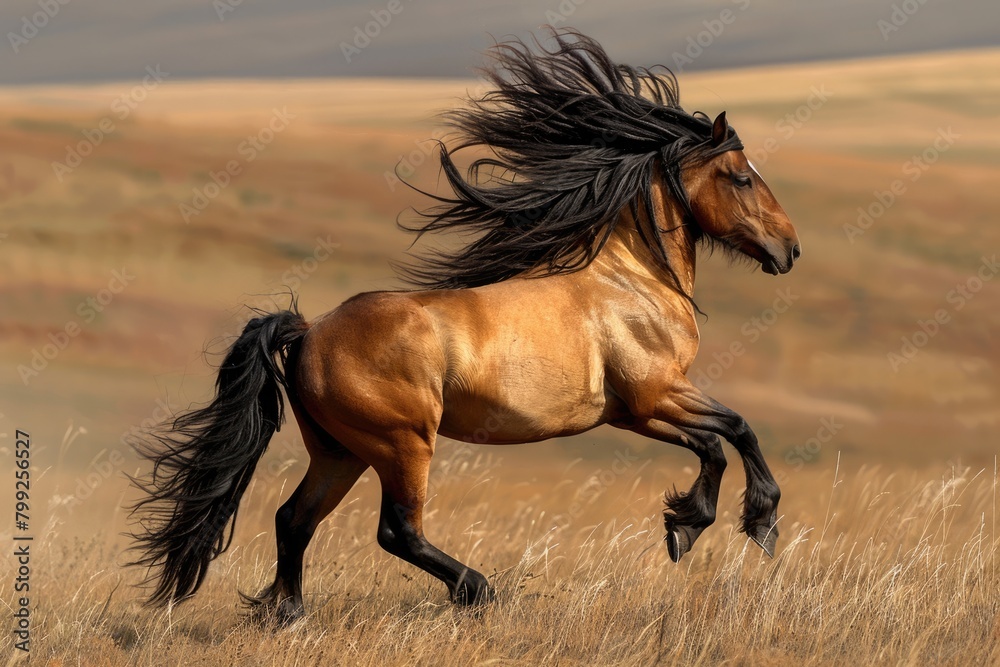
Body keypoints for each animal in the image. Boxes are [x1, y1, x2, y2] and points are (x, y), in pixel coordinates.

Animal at [129, 28, 800, 624]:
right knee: (396, 530)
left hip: (341, 450)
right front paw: (750, 521)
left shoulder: (634, 412)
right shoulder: (655, 394)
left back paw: (290, 615)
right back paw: (477, 590)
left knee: (295, 519)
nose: (788, 249)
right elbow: (735, 430)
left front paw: (685, 525)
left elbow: (715, 443)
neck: (632, 281)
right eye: (742, 176)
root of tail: (310, 331)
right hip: (401, 444)